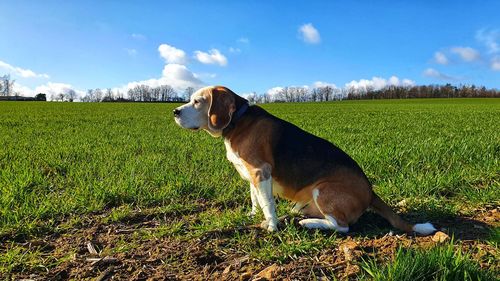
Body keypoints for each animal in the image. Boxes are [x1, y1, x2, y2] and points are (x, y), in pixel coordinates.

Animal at [173, 85, 438, 234]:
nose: (174, 112)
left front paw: (271, 226)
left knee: (342, 227)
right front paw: (252, 215)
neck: (238, 120)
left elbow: (267, 203)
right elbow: (256, 199)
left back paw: (308, 223)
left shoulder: (261, 171)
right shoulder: (250, 175)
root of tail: (371, 192)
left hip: (324, 190)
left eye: (197, 101)